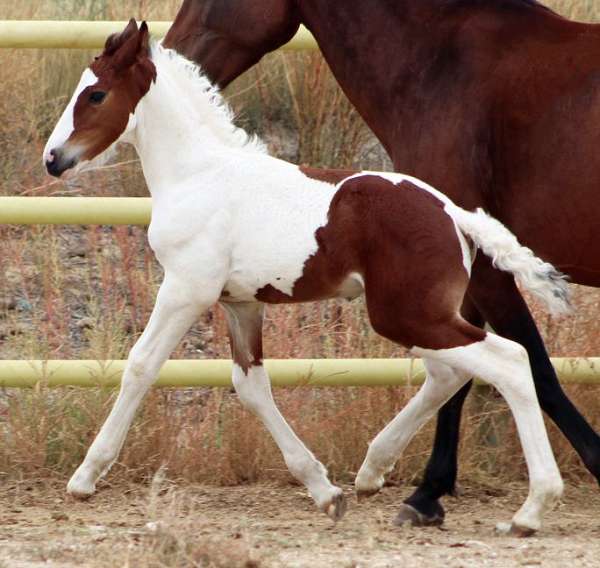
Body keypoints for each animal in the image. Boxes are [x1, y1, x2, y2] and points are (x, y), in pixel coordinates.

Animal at [44, 20, 568, 536]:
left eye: (96, 94)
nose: (53, 159)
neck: (200, 174)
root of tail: (452, 212)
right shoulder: (241, 303)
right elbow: (251, 386)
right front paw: (325, 491)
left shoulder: (186, 290)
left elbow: (141, 364)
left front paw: (85, 477)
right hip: (420, 314)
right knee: (450, 372)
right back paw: (372, 472)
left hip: (405, 314)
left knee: (509, 362)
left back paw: (531, 508)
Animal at [161, 0, 600, 524]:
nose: (169, 53)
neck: (444, 66)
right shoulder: (465, 269)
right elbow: (467, 374)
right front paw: (423, 491)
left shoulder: (485, 271)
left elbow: (534, 368)